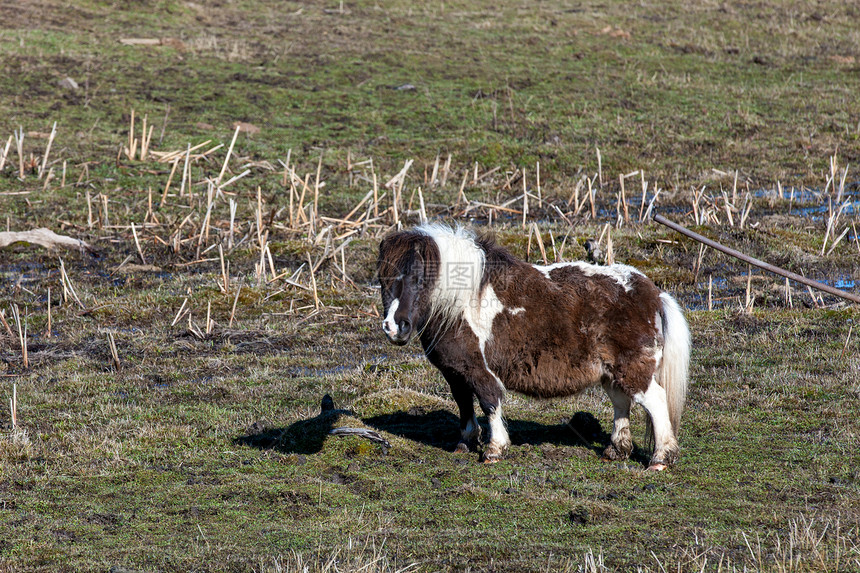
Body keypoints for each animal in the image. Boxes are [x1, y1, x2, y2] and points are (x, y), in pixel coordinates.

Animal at [378, 223, 692, 470]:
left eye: (418, 278)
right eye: (382, 280)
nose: (395, 327)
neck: (460, 303)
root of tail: (653, 293)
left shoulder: (480, 370)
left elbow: (489, 401)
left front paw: (494, 450)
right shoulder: (455, 372)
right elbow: (464, 404)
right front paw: (465, 443)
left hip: (633, 369)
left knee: (656, 402)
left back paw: (660, 459)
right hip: (610, 373)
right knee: (621, 404)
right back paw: (616, 451)